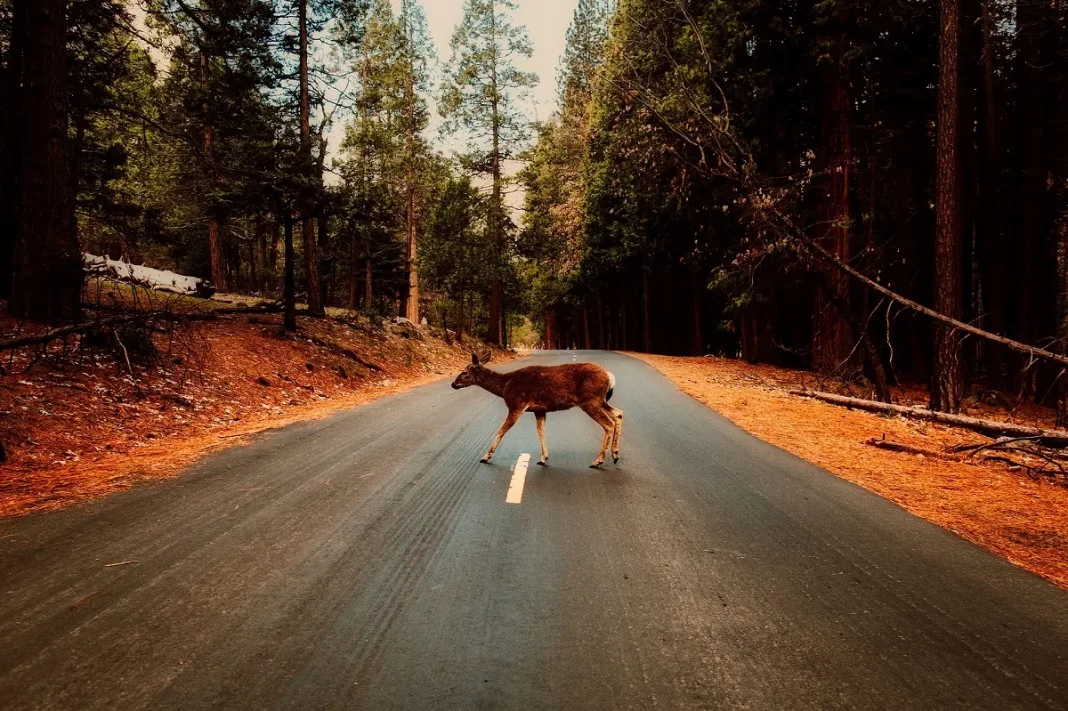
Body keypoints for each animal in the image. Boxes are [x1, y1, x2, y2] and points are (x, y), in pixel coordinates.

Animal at [452, 350, 623, 469]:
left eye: (464, 372)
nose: (453, 384)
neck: (505, 385)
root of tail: (610, 376)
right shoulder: (539, 409)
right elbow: (541, 430)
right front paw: (543, 458)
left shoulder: (517, 404)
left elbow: (502, 430)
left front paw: (485, 457)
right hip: (600, 400)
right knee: (618, 414)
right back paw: (615, 455)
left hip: (590, 400)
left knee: (609, 424)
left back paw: (597, 461)